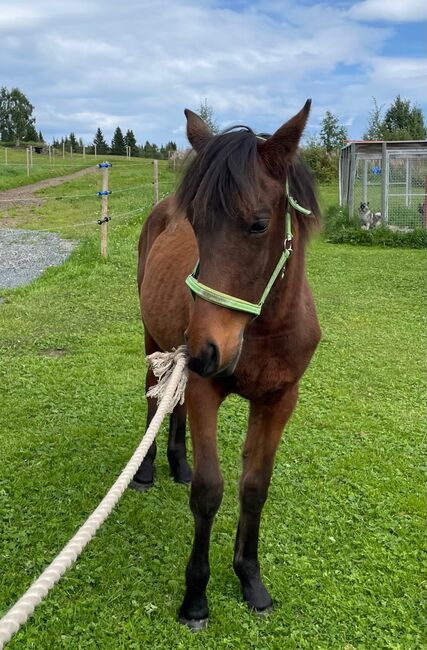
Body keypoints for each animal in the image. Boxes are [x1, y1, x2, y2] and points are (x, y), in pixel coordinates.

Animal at [132, 102, 322, 628]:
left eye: (258, 224)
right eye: (195, 224)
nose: (204, 351)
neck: (262, 331)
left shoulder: (279, 400)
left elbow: (254, 487)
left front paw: (250, 580)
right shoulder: (203, 388)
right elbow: (209, 492)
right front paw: (196, 597)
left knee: (172, 407)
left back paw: (178, 463)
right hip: (154, 340)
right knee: (154, 397)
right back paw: (148, 470)